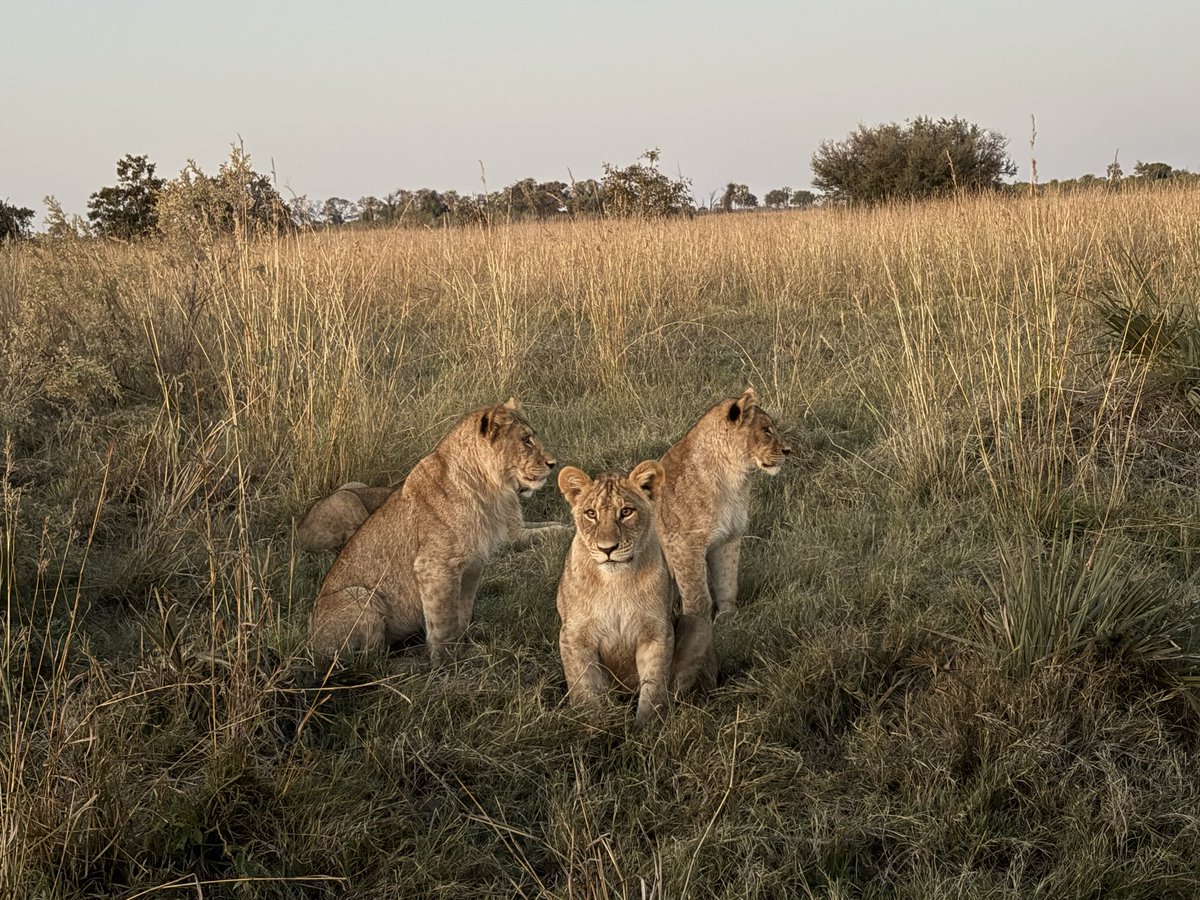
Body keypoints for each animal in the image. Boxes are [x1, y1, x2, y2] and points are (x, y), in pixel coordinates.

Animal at [309, 398, 566, 661]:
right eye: (526, 440)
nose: (553, 464)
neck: (489, 489)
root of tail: (310, 644)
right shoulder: (437, 565)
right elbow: (443, 618)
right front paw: (446, 660)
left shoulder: (474, 565)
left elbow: (462, 610)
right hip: (358, 594)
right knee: (366, 658)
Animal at [556, 461, 716, 726]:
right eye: (591, 513)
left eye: (626, 512)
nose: (607, 548)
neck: (615, 582)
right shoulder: (574, 637)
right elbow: (584, 690)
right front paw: (592, 728)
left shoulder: (656, 633)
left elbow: (654, 686)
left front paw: (648, 728)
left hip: (699, 625)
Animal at [658, 387, 792, 692]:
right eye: (766, 430)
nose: (788, 451)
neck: (733, 479)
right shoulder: (684, 544)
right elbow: (698, 596)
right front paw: (700, 631)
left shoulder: (728, 538)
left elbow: (727, 581)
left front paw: (730, 620)